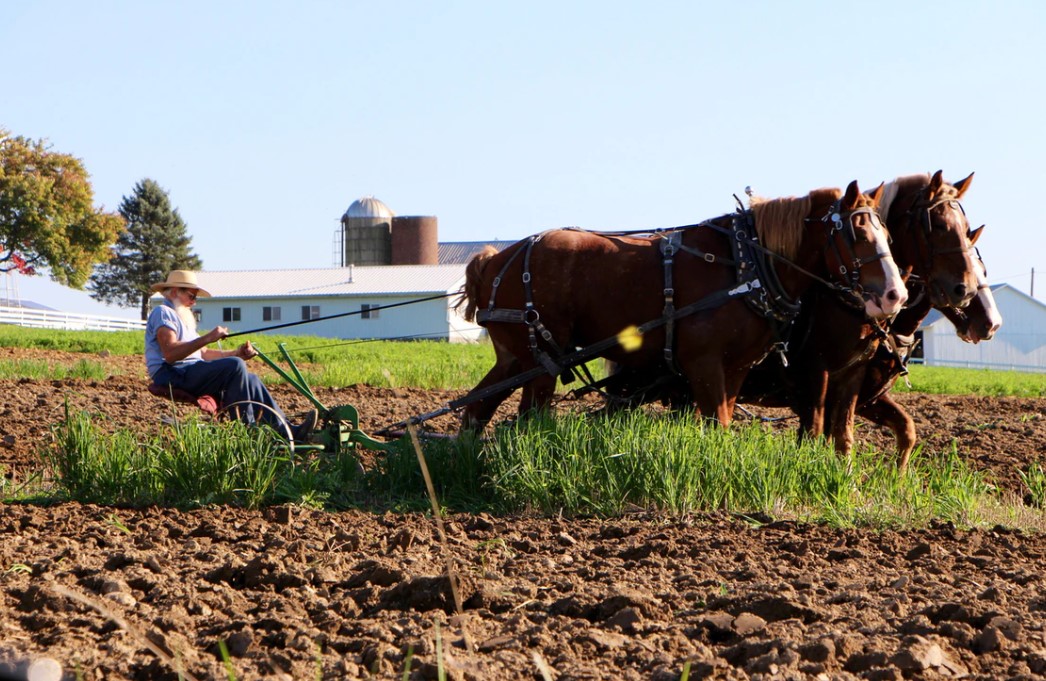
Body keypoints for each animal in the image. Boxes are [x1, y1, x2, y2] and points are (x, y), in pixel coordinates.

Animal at [458, 178, 907, 428]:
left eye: (887, 233)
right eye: (857, 234)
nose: (895, 295)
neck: (745, 263)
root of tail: (493, 260)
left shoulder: (736, 368)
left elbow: (722, 421)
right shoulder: (703, 364)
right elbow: (715, 424)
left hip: (514, 357)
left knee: (478, 406)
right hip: (540, 360)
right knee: (525, 417)